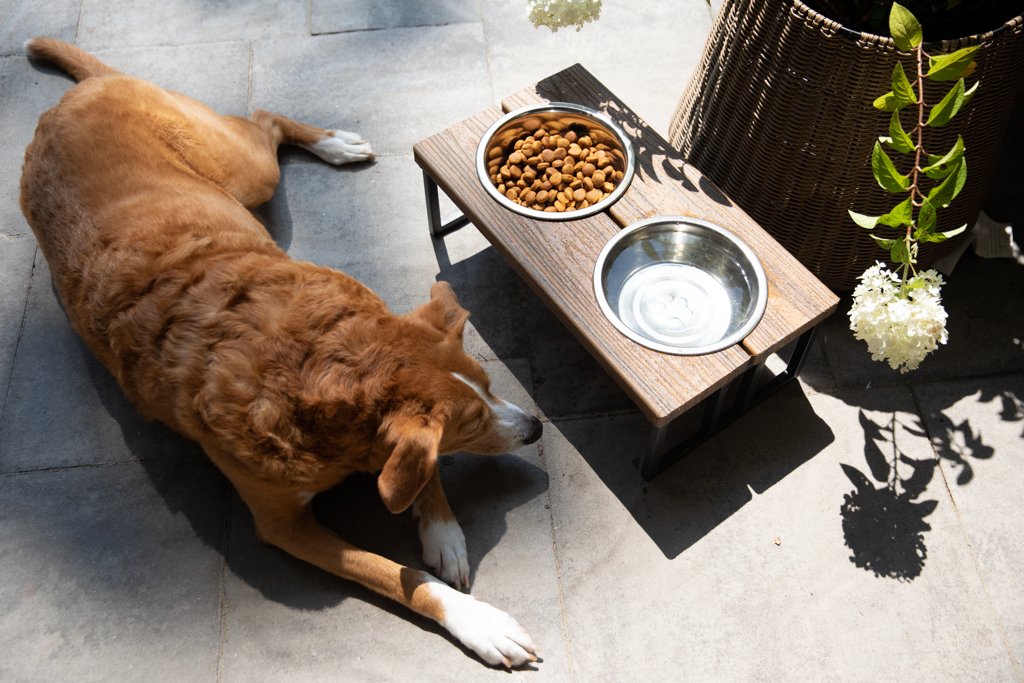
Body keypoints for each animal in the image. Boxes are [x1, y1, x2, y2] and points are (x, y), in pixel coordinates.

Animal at [18, 37, 544, 667]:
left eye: (489, 382)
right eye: (469, 423)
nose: (536, 428)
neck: (313, 366)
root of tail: (77, 95)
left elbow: (418, 474)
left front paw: (443, 534)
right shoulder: (284, 526)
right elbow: (395, 574)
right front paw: (474, 618)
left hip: (246, 174)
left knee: (265, 118)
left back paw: (335, 144)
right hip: (245, 171)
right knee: (263, 118)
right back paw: (333, 143)